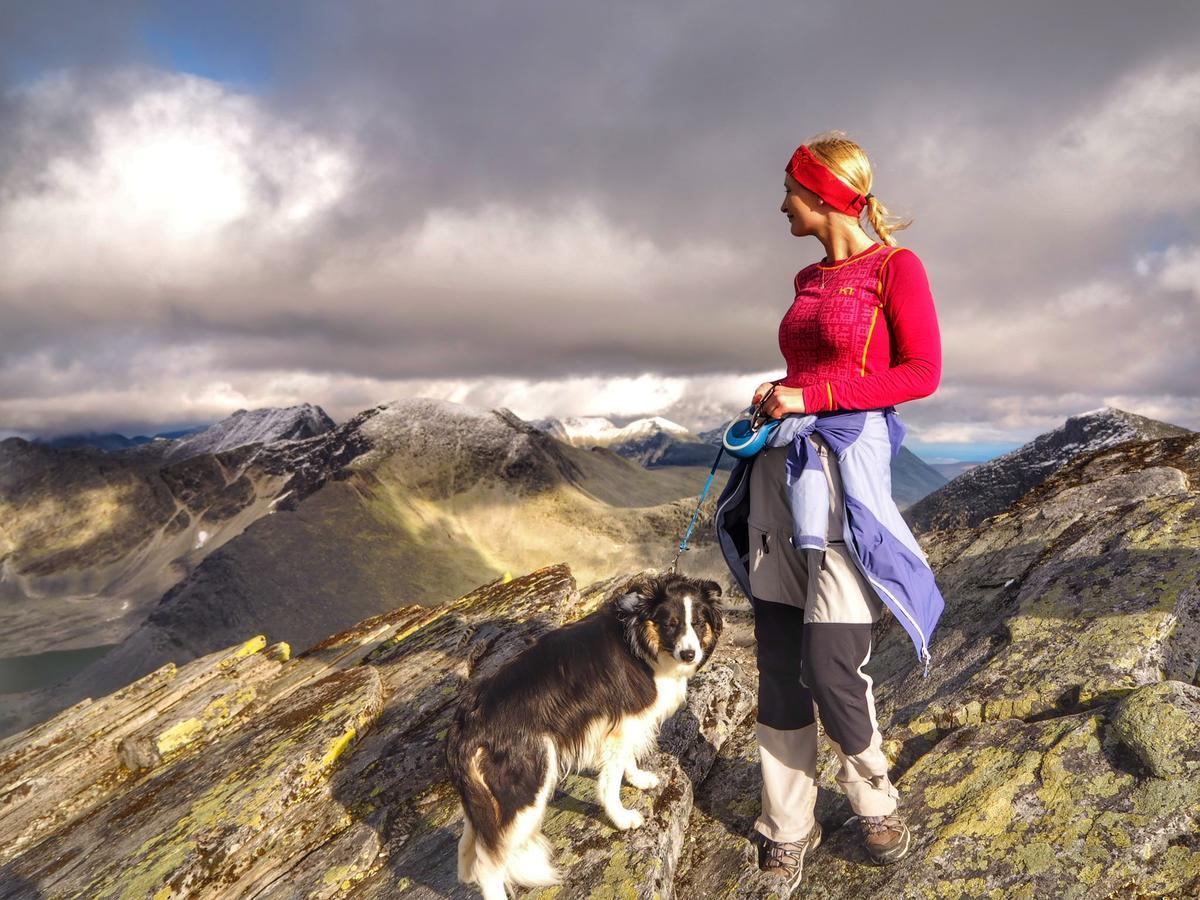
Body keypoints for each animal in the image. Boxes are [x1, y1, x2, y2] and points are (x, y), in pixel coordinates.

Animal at [444, 573, 715, 897]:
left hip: (486, 797)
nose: (689, 654)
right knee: (489, 863)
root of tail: (465, 723)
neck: (641, 638)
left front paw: (639, 780)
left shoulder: (625, 723)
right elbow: (609, 781)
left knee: (470, 842)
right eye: (671, 623)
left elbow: (626, 759)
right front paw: (623, 819)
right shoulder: (622, 723)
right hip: (528, 783)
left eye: (698, 622)